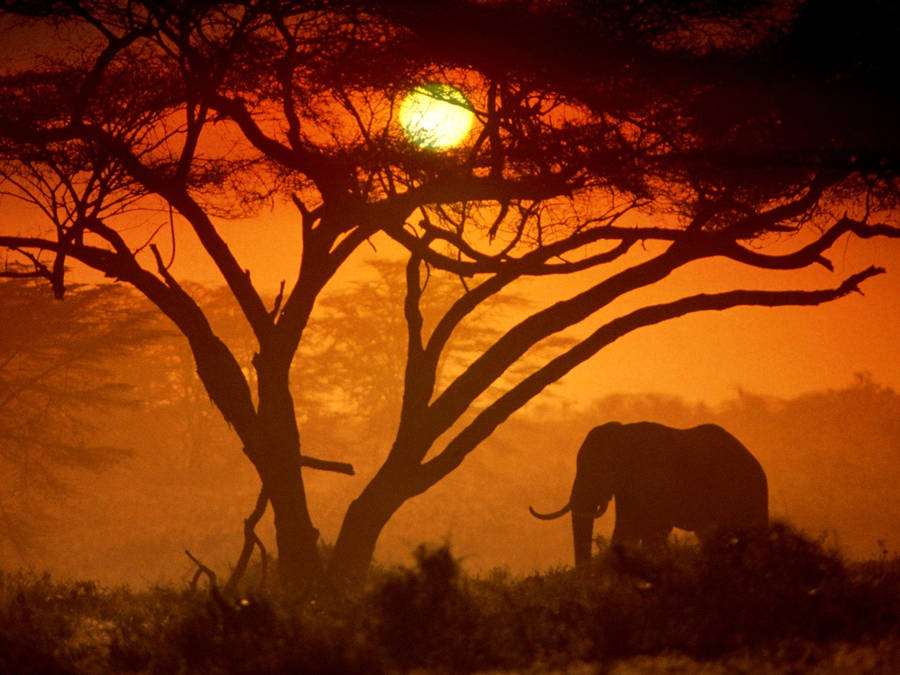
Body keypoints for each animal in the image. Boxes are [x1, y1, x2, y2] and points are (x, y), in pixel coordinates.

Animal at [530, 421, 768, 571]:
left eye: (598, 470)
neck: (624, 433)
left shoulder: (655, 477)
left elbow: (651, 529)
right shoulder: (628, 487)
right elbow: (626, 529)